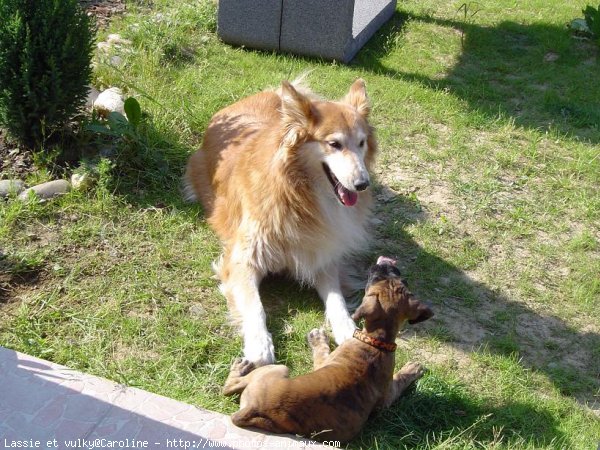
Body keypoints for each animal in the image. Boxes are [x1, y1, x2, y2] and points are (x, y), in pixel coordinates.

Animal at [185, 79, 378, 368]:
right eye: (334, 144)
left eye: (362, 143)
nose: (363, 184)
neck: (300, 194)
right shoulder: (242, 260)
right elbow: (255, 306)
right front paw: (259, 345)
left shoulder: (320, 254)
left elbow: (336, 299)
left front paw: (346, 328)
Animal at [223, 256, 434, 442]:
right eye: (384, 279)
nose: (387, 268)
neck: (376, 341)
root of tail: (252, 408)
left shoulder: (386, 395)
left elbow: (400, 378)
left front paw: (412, 368)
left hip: (280, 368)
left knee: (229, 387)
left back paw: (239, 368)